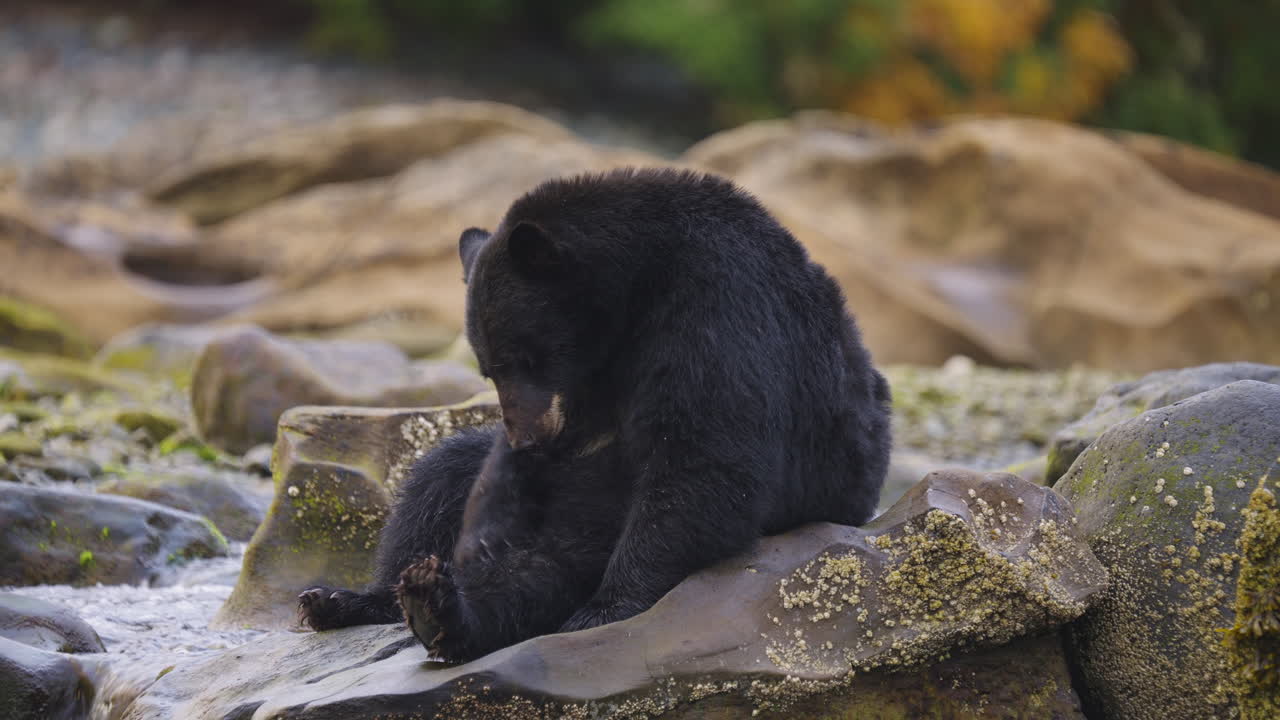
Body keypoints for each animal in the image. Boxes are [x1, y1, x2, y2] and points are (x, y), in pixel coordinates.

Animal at [298, 167, 892, 662]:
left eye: (526, 357)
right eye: (488, 369)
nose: (526, 437)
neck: (640, 281)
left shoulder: (720, 303)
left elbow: (706, 452)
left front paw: (605, 607)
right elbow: (489, 483)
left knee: (561, 559)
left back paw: (446, 611)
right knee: (438, 477)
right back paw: (353, 598)